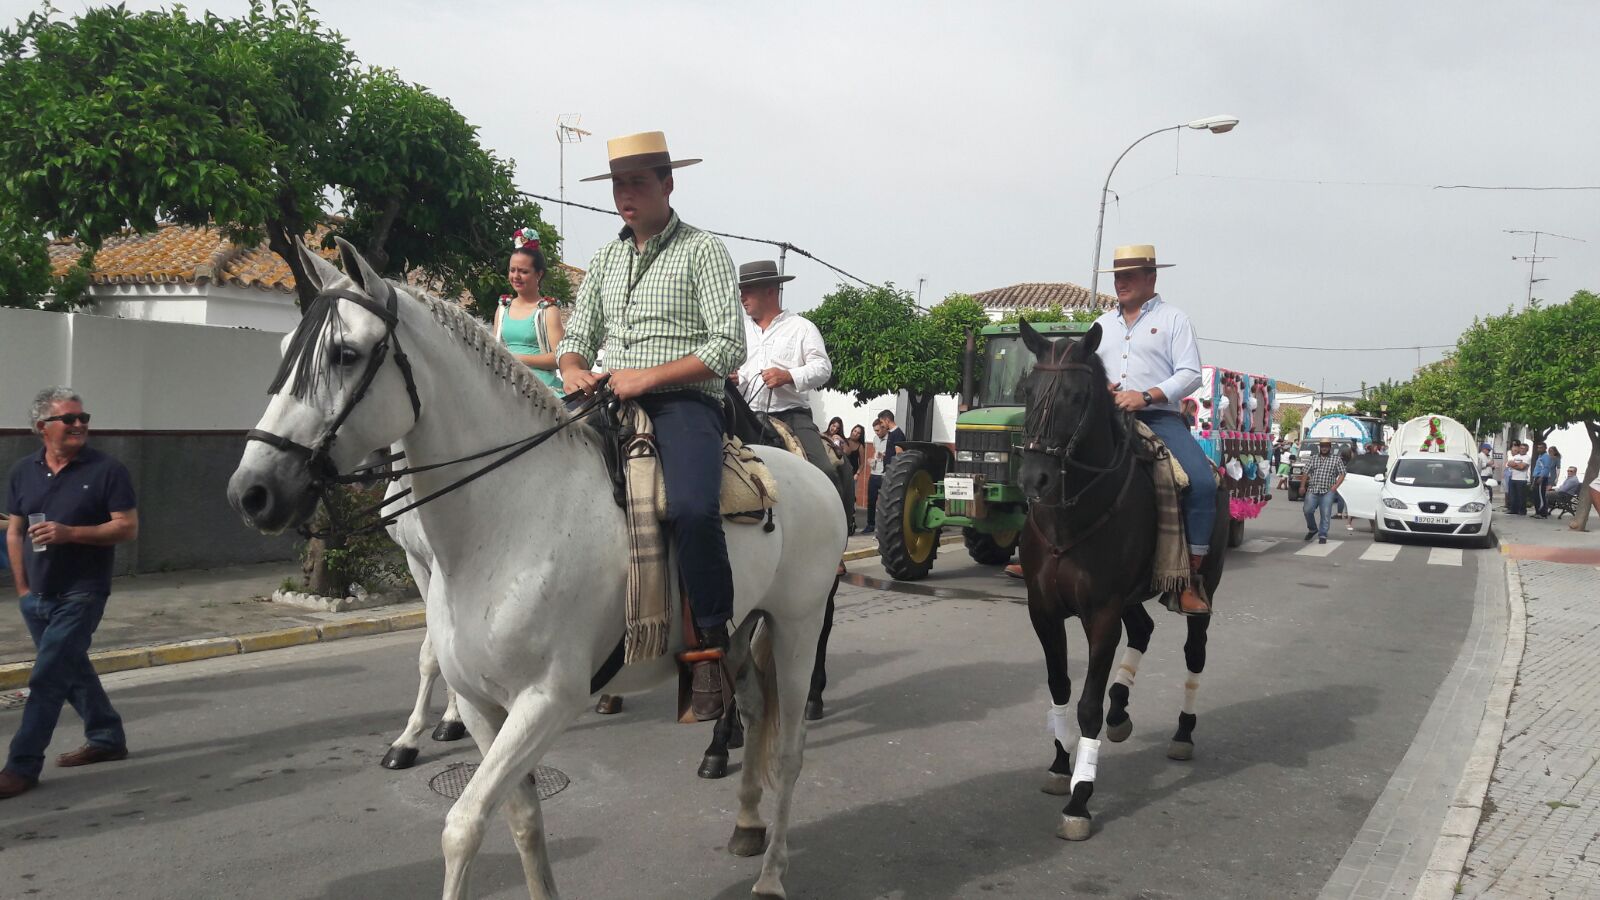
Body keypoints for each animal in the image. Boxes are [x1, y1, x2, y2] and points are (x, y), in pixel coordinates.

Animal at [233, 238, 851, 896]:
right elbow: (521, 817)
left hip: (798, 625)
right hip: (734, 632)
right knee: (756, 712)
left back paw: (772, 873)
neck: (509, 521)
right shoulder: (481, 704)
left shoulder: (546, 701)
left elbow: (463, 824)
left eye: (345, 354)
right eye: (285, 348)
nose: (251, 492)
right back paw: (746, 822)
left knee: (788, 748)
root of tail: (812, 471)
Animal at [1011, 320, 1222, 839]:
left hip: (1200, 593)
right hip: (1131, 596)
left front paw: (1080, 798)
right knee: (1143, 630)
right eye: (1027, 392)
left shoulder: (1102, 613)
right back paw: (1121, 711)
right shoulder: (1043, 611)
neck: (1069, 517)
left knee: (1194, 654)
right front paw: (1060, 765)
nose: (1034, 479)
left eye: (1076, 396)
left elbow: (1087, 703)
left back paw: (1182, 732)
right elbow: (1060, 687)